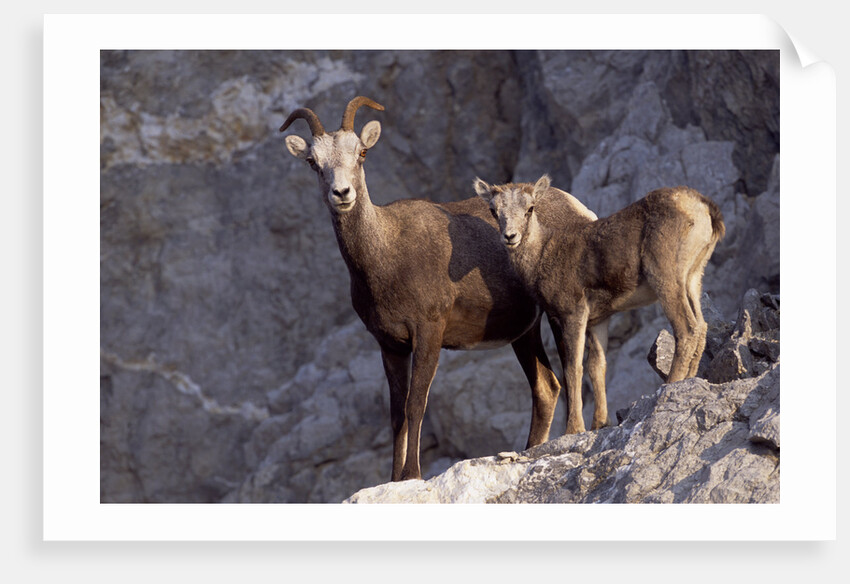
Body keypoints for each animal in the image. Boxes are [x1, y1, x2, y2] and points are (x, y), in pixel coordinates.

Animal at [280, 97, 598, 480]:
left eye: (362, 153)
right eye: (313, 162)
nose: (342, 193)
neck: (386, 255)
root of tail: (582, 211)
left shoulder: (429, 332)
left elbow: (416, 405)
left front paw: (412, 474)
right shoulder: (390, 345)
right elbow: (397, 416)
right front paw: (394, 478)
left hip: (559, 311)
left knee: (570, 370)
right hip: (525, 332)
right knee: (546, 387)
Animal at [474, 175, 725, 434]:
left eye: (530, 208)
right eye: (493, 210)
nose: (510, 237)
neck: (542, 256)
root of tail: (703, 207)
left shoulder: (573, 314)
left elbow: (573, 368)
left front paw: (574, 428)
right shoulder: (598, 321)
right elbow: (597, 366)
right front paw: (599, 424)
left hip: (665, 277)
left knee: (686, 329)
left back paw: (670, 386)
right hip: (693, 278)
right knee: (701, 326)